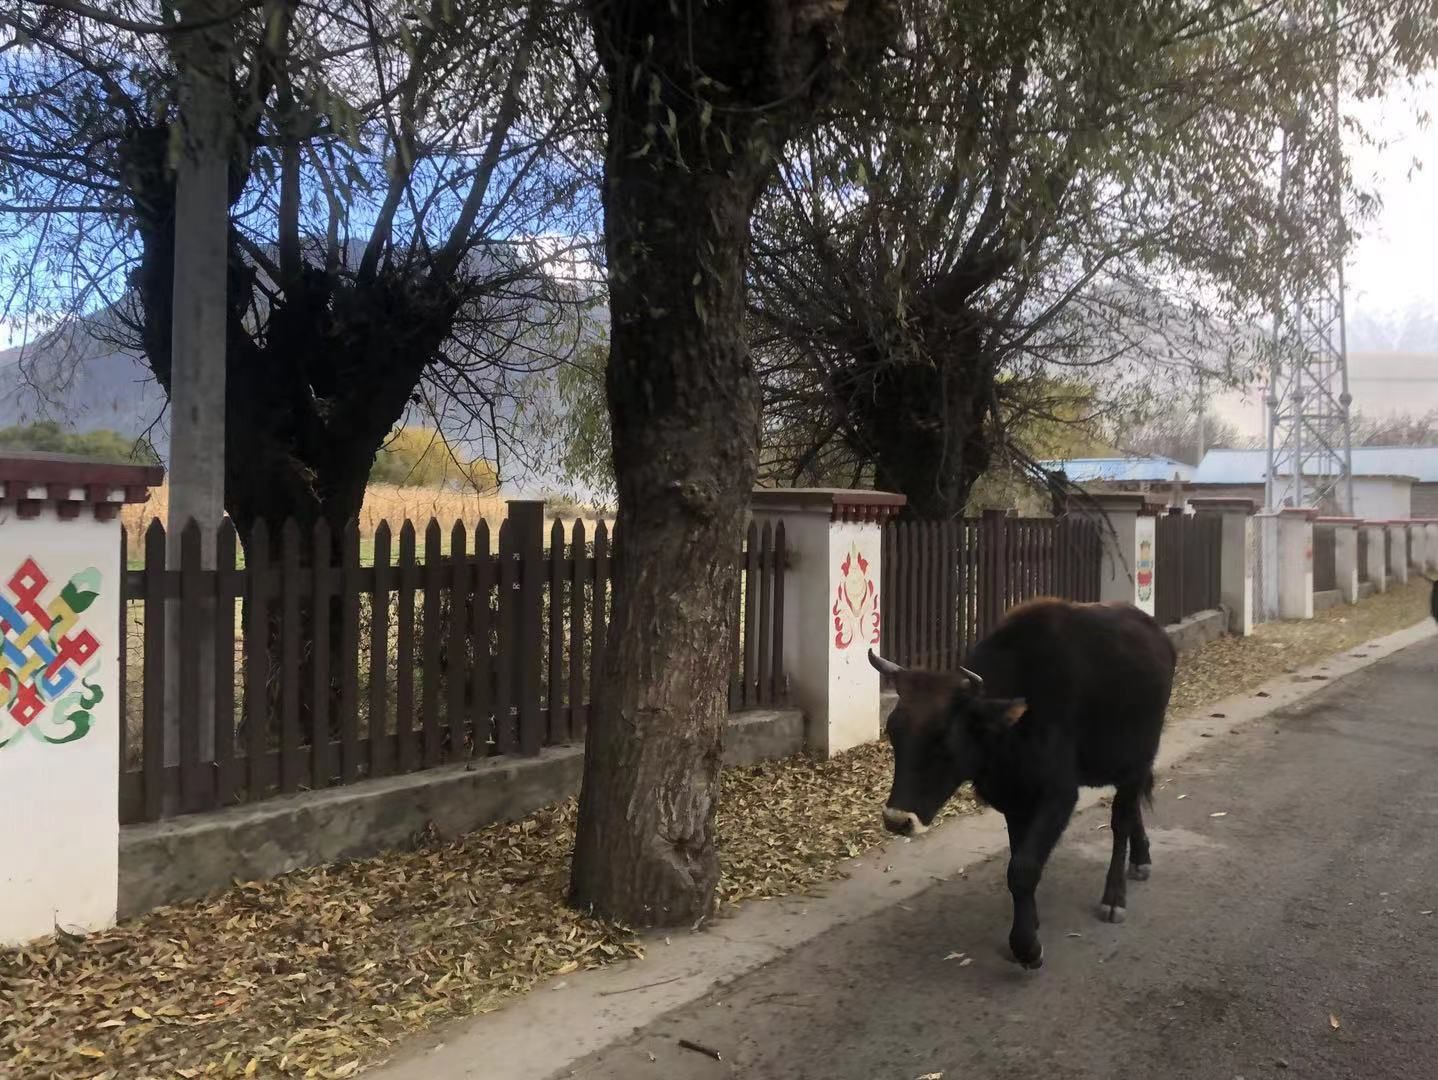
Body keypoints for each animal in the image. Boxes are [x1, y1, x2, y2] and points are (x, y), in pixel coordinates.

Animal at [868, 601, 1173, 972]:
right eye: (894, 732)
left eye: (943, 740)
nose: (897, 819)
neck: (1011, 730)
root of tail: (1154, 632)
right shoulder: (1014, 800)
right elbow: (1019, 858)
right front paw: (1031, 922)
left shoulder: (1058, 795)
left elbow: (1023, 867)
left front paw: (1027, 946)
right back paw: (1141, 859)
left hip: (1139, 758)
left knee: (1121, 820)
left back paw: (1114, 898)